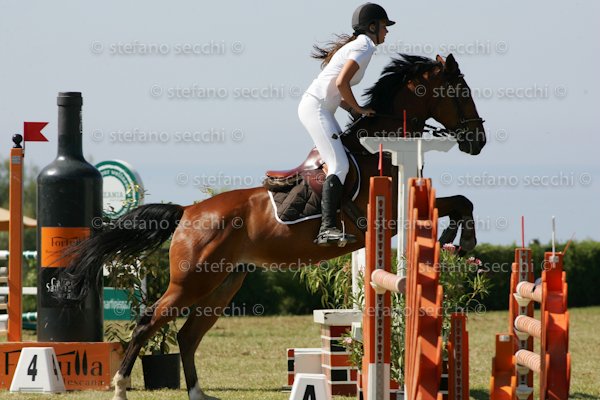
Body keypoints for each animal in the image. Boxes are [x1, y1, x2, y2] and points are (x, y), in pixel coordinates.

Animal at [59, 53, 485, 400]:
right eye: (460, 90)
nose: (477, 140)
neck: (379, 147)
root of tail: (188, 212)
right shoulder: (387, 217)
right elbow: (457, 202)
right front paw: (461, 238)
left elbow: (462, 202)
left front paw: (456, 238)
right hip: (191, 281)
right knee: (151, 319)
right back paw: (120, 386)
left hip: (223, 283)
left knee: (188, 333)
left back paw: (197, 392)